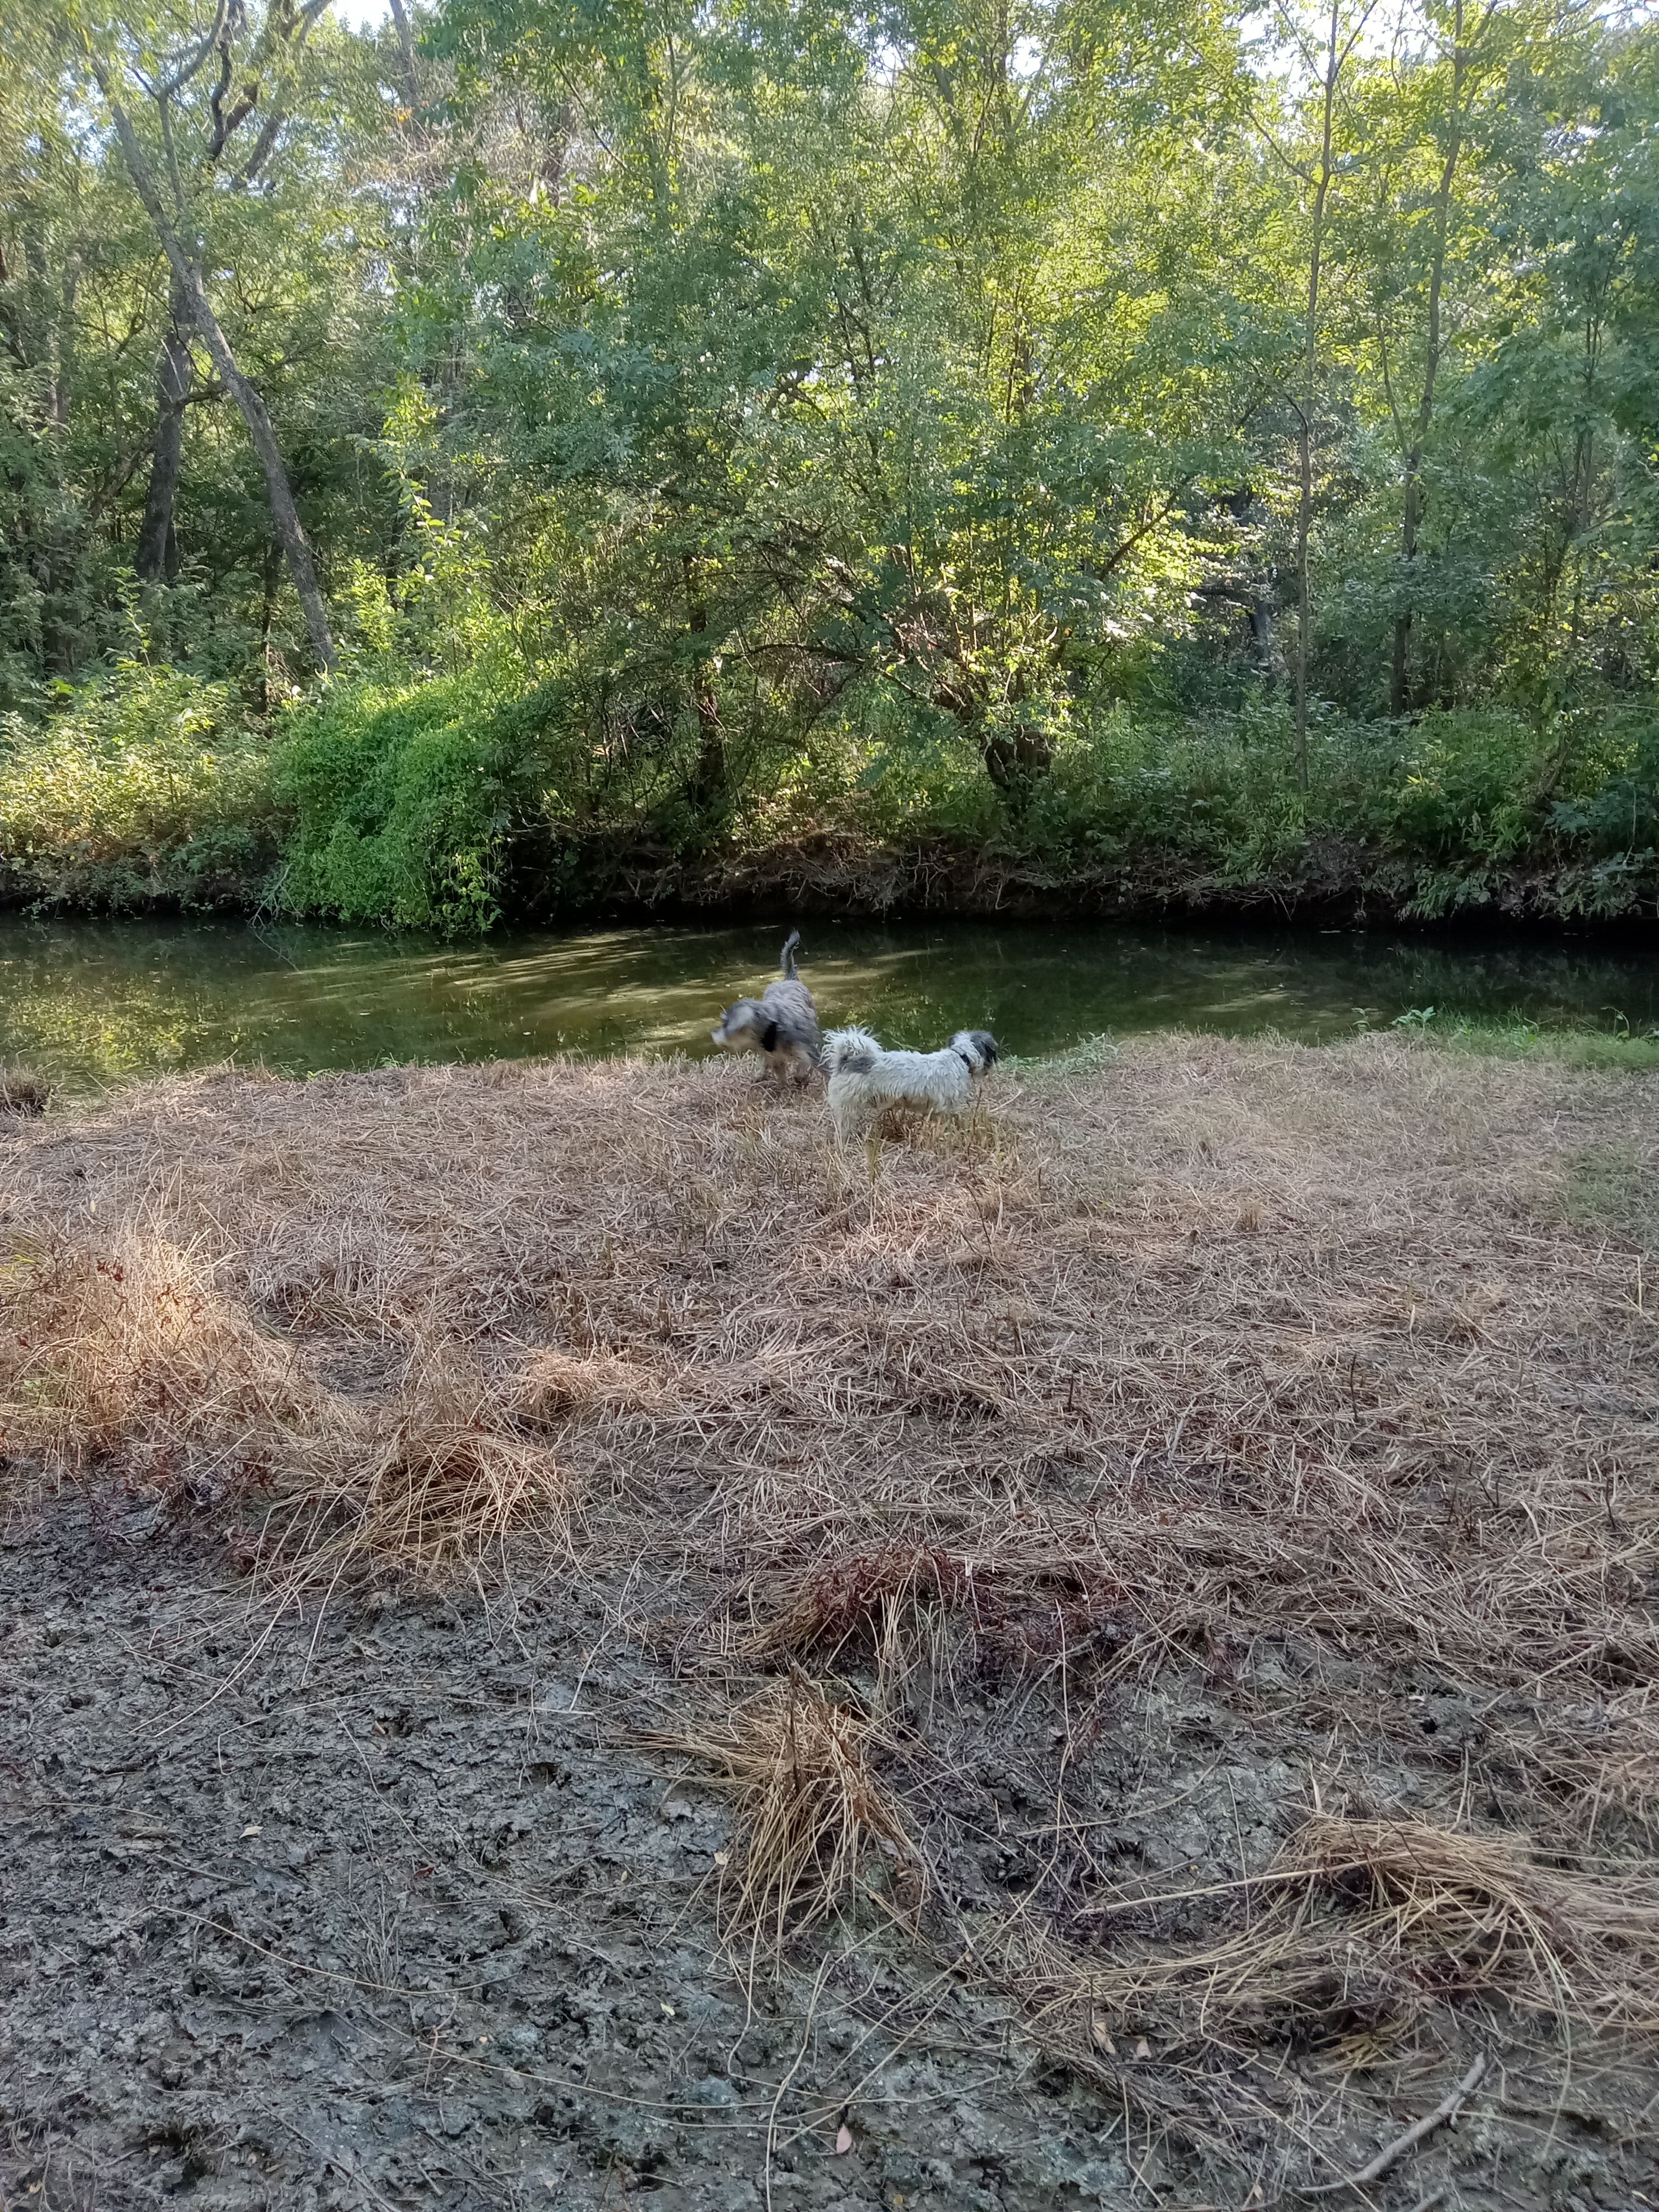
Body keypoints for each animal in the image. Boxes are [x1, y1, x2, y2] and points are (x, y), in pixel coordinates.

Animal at [712, 924, 823, 1079]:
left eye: (725, 1023)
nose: (714, 1032)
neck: (773, 1026)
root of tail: (789, 979)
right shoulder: (775, 1056)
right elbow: (780, 1073)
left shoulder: (808, 1051)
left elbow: (804, 1064)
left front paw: (801, 1076)